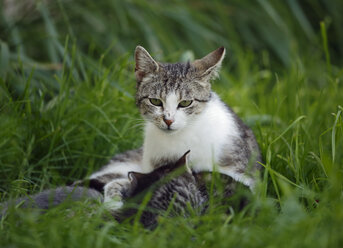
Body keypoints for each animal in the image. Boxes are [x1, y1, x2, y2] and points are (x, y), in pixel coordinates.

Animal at [87, 46, 262, 209]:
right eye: (155, 101)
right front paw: (113, 201)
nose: (168, 120)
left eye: (185, 103)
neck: (179, 139)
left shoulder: (240, 174)